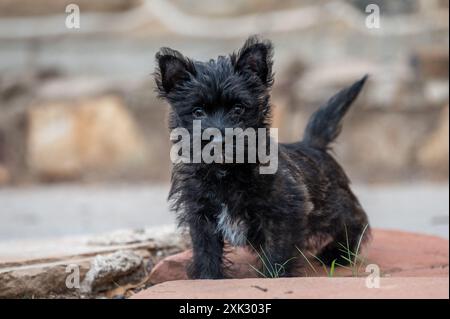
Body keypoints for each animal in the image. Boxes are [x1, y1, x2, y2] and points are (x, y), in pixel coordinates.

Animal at [155, 35, 370, 280]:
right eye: (198, 112)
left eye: (238, 109)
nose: (218, 139)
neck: (226, 170)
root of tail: (312, 144)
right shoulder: (201, 214)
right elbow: (205, 248)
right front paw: (208, 277)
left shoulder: (283, 210)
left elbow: (278, 248)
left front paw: (275, 275)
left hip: (331, 206)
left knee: (354, 220)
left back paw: (337, 254)